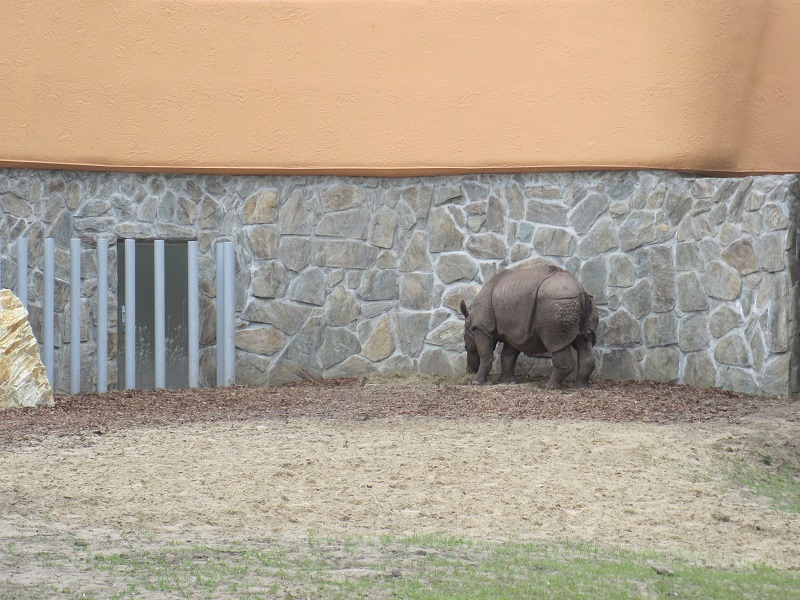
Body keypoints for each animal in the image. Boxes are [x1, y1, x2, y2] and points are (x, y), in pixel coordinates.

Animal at [459, 265, 598, 387]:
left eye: (466, 347)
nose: (468, 369)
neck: (471, 321)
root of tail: (580, 289)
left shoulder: (482, 327)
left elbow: (486, 354)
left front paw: (476, 382)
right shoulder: (513, 332)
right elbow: (508, 356)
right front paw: (507, 382)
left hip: (556, 302)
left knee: (556, 342)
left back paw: (549, 386)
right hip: (585, 301)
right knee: (585, 341)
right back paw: (582, 386)